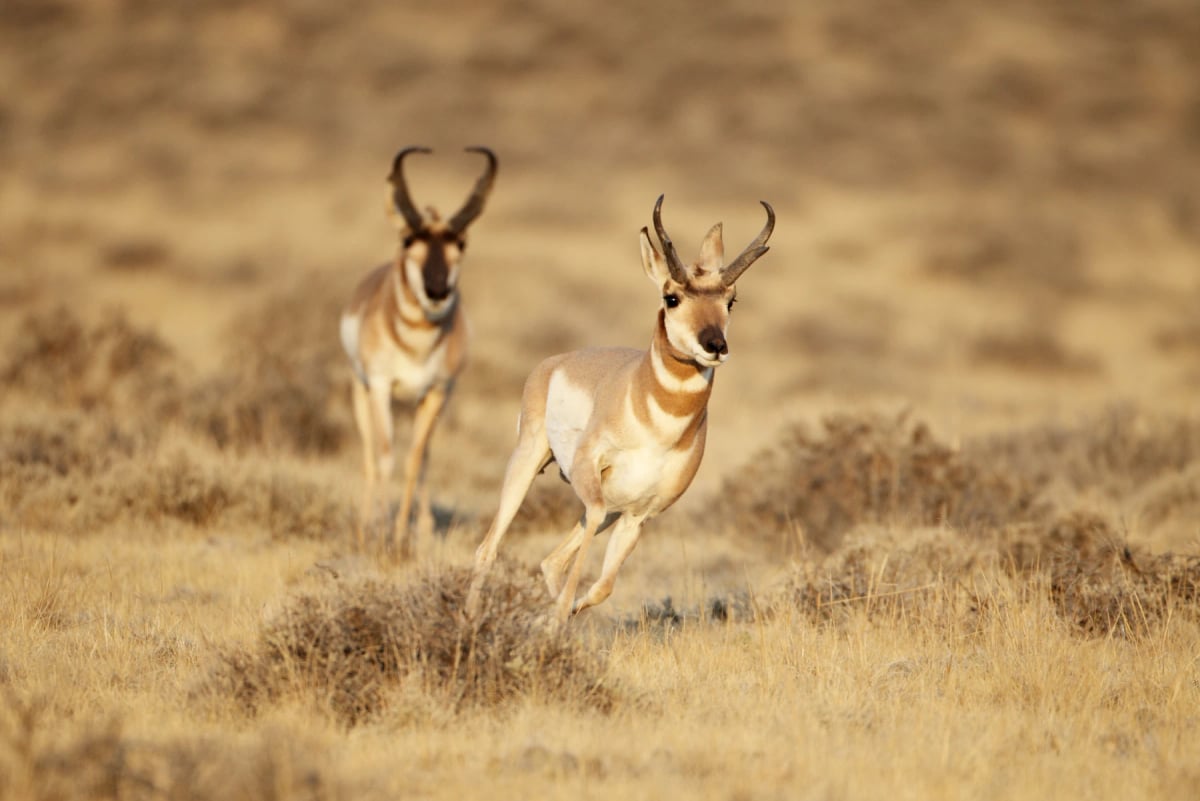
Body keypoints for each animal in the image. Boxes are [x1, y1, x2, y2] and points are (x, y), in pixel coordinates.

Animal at [340, 146, 497, 556]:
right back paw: (363, 529)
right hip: (362, 392)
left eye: (461, 244)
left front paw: (400, 536)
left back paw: (422, 528)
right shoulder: (380, 388)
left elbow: (414, 460)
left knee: (424, 456)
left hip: (424, 402)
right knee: (369, 457)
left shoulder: (437, 392)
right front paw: (380, 535)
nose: (438, 290)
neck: (417, 345)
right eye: (408, 239)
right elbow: (385, 457)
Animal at [466, 194, 774, 623]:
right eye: (672, 297)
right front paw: (555, 618)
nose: (715, 345)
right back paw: (470, 620)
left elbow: (603, 587)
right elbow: (584, 562)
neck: (657, 426)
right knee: (488, 548)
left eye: (731, 300)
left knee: (551, 562)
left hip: (611, 505)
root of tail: (555, 362)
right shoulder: (593, 486)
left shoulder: (637, 516)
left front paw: (559, 615)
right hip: (527, 465)